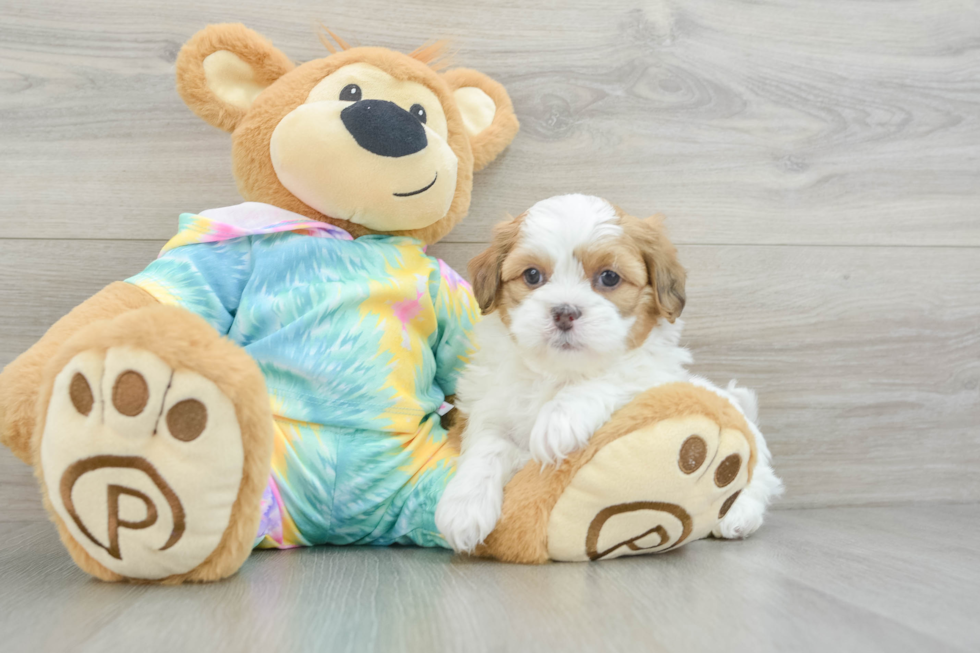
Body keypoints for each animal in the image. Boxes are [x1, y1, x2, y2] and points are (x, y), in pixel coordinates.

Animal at [436, 195, 780, 556]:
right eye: (532, 275)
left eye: (610, 278)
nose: (564, 312)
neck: (558, 373)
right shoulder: (490, 403)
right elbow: (487, 444)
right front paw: (464, 508)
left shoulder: (653, 376)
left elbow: (613, 377)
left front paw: (559, 420)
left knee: (762, 478)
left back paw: (738, 516)